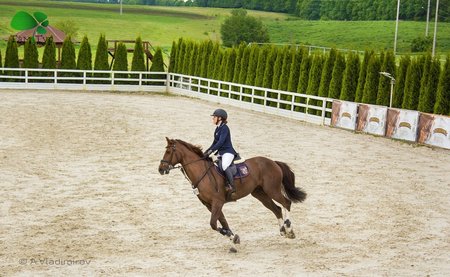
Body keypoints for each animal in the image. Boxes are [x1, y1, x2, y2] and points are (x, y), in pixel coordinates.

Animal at [157, 137, 306, 251]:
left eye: (168, 151)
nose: (161, 169)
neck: (202, 173)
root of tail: (273, 162)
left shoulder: (217, 202)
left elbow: (213, 224)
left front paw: (231, 236)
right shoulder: (209, 205)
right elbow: (223, 222)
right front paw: (233, 238)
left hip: (272, 190)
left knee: (286, 203)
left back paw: (289, 230)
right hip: (260, 194)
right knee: (277, 209)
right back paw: (282, 231)